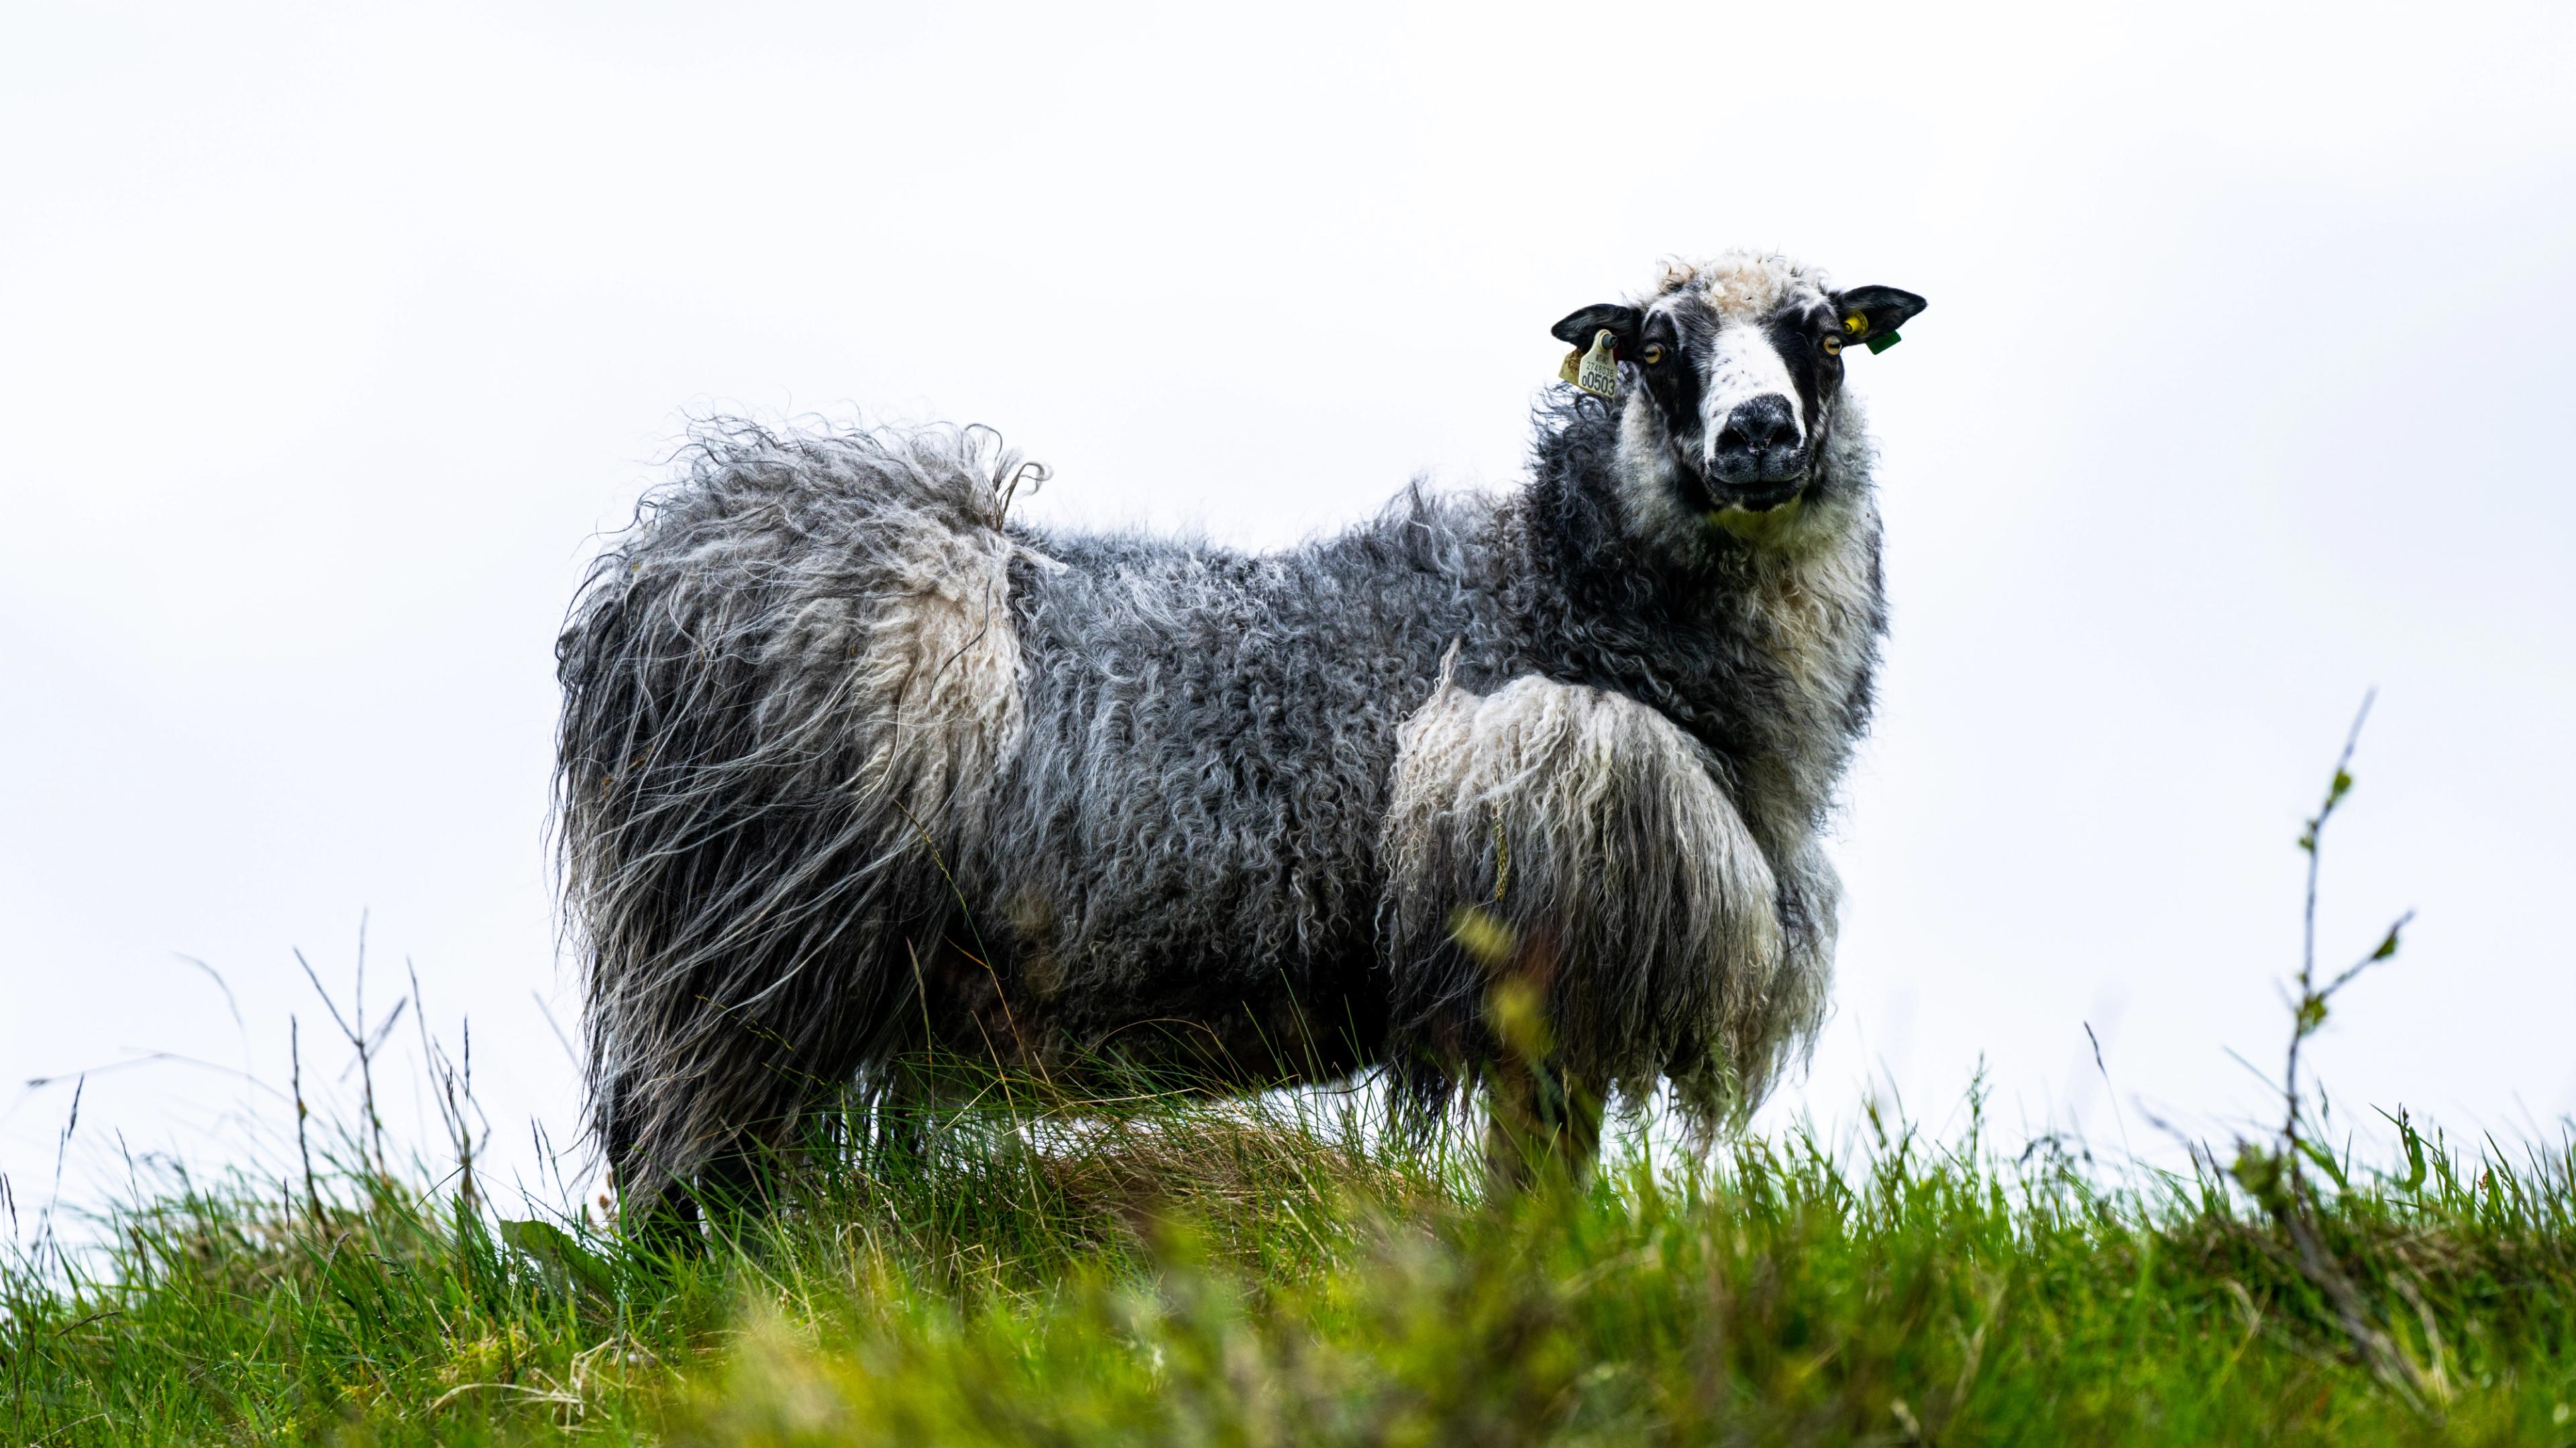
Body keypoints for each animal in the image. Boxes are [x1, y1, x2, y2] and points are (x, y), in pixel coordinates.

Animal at [554, 249, 1927, 1215]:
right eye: (1653, 343)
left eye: (1826, 336)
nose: (1759, 434)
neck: (1552, 594)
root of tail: (659, 572)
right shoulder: (1549, 947)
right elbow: (1532, 1192)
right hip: (745, 950)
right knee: (691, 1171)